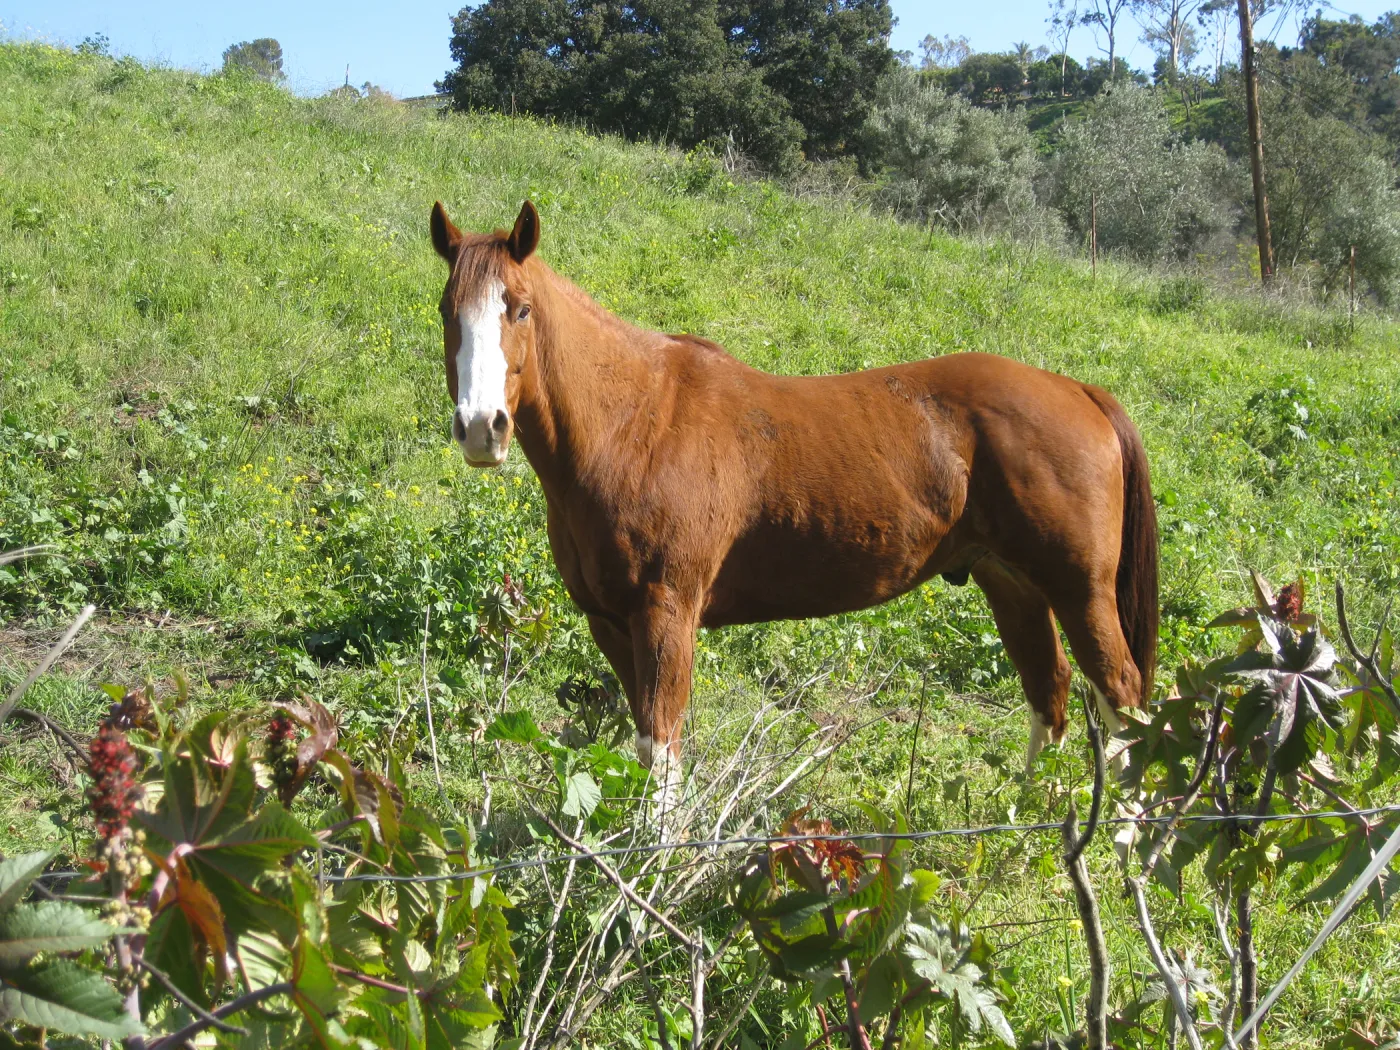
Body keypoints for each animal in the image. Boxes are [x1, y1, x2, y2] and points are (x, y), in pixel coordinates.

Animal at [429, 199, 1158, 802]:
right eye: (447, 311)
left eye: (520, 308)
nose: (482, 427)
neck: (633, 423)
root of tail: (1079, 392)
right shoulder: (610, 622)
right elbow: (643, 744)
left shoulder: (667, 614)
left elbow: (662, 751)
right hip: (1012, 583)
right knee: (1050, 692)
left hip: (1080, 591)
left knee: (1122, 698)